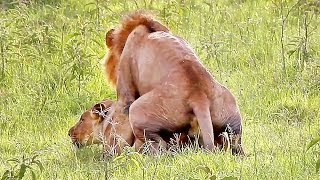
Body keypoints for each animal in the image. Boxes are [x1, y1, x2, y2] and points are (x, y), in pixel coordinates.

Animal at [104, 10, 244, 155]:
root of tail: (198, 95)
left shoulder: (125, 94)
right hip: (233, 120)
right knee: (235, 144)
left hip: (137, 111)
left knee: (159, 145)